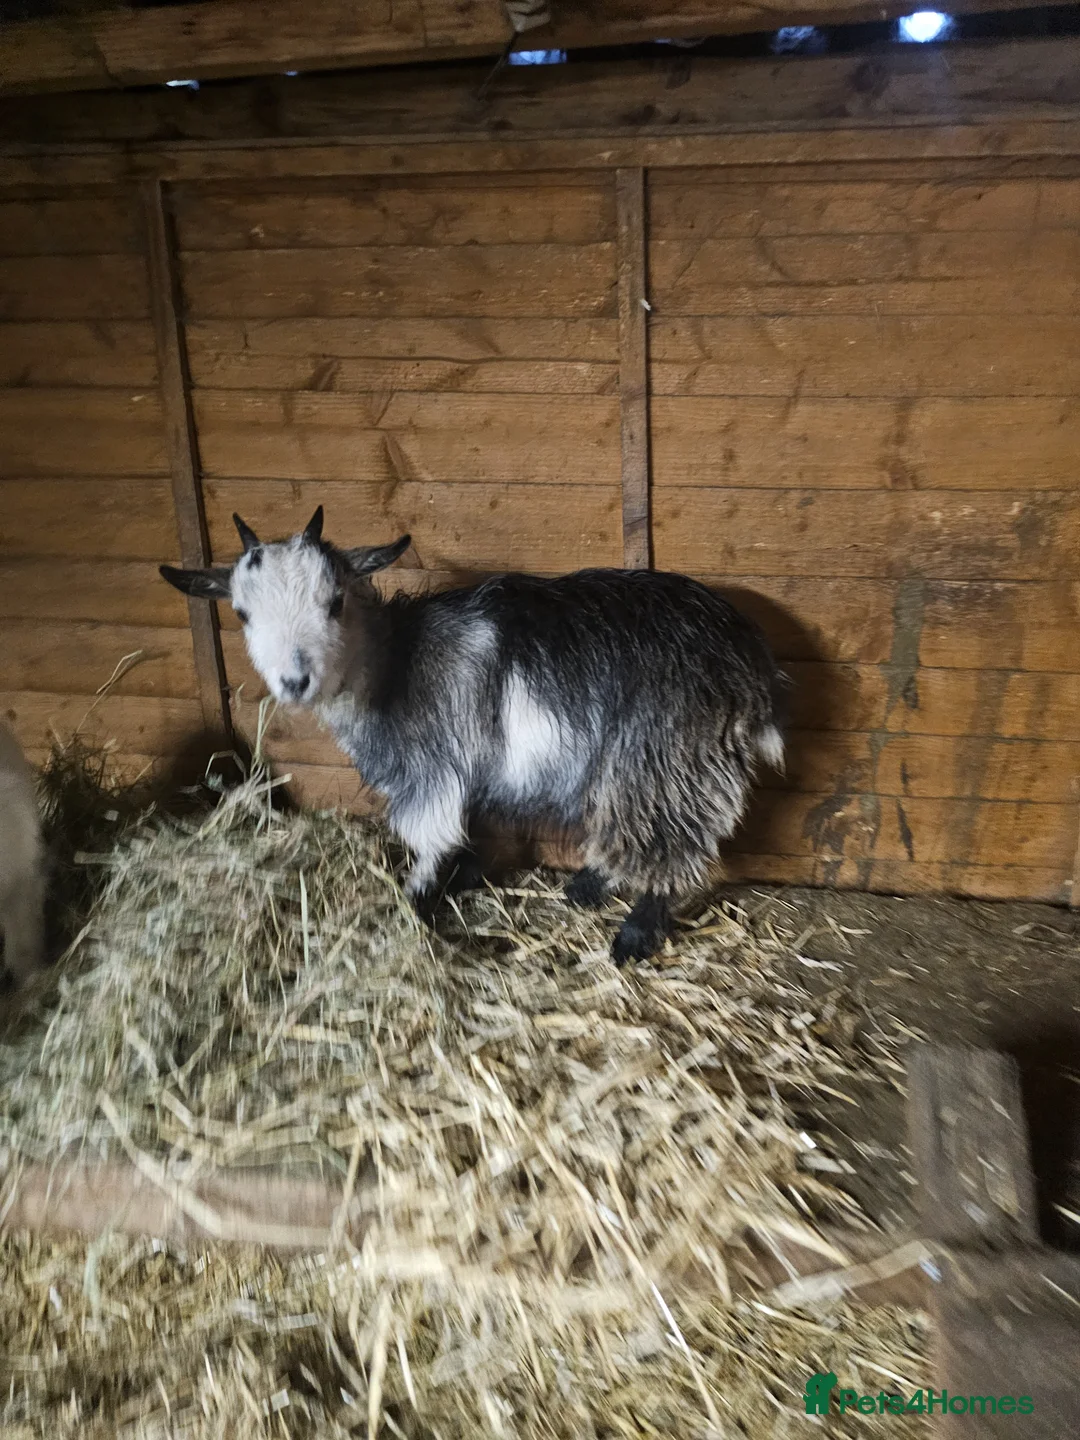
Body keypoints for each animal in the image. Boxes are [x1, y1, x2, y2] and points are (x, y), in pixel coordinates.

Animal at [161, 508, 784, 963]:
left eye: (334, 602)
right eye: (241, 613)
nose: (295, 681)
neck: (394, 664)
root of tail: (750, 661)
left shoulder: (432, 773)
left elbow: (430, 837)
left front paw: (416, 903)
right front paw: (462, 879)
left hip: (664, 758)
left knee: (667, 842)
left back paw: (633, 935)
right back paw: (588, 888)